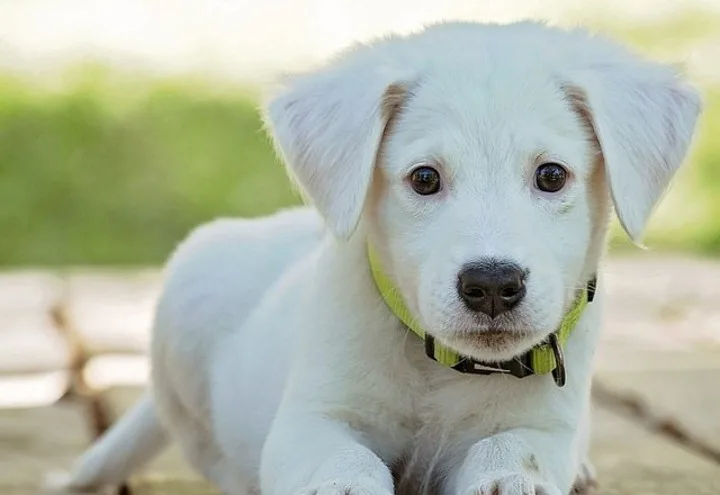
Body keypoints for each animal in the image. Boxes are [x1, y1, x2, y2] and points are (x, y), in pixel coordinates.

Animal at [52, 21, 704, 495]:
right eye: (424, 179)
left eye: (551, 175)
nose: (492, 284)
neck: (442, 368)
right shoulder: (311, 420)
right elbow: (342, 461)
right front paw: (344, 484)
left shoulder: (544, 426)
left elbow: (511, 450)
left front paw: (509, 479)